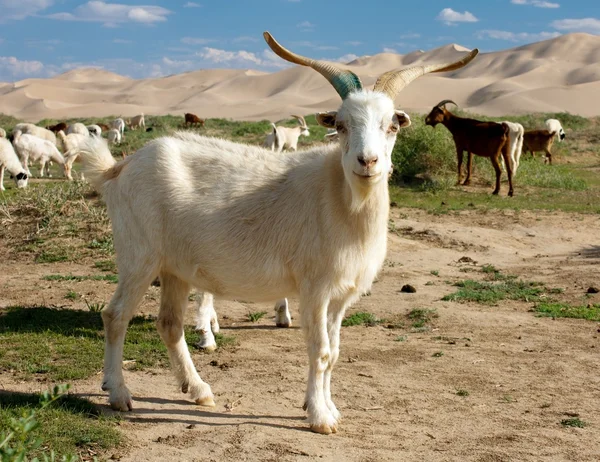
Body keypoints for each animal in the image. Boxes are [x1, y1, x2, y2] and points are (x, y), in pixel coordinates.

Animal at [77, 30, 476, 434]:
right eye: (342, 125)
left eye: (392, 126)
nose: (367, 162)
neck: (341, 199)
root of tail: (120, 167)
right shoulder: (314, 288)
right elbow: (320, 351)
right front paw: (319, 417)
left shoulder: (340, 296)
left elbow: (335, 352)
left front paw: (329, 408)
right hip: (138, 256)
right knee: (115, 316)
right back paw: (119, 393)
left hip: (176, 269)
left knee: (170, 324)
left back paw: (199, 390)